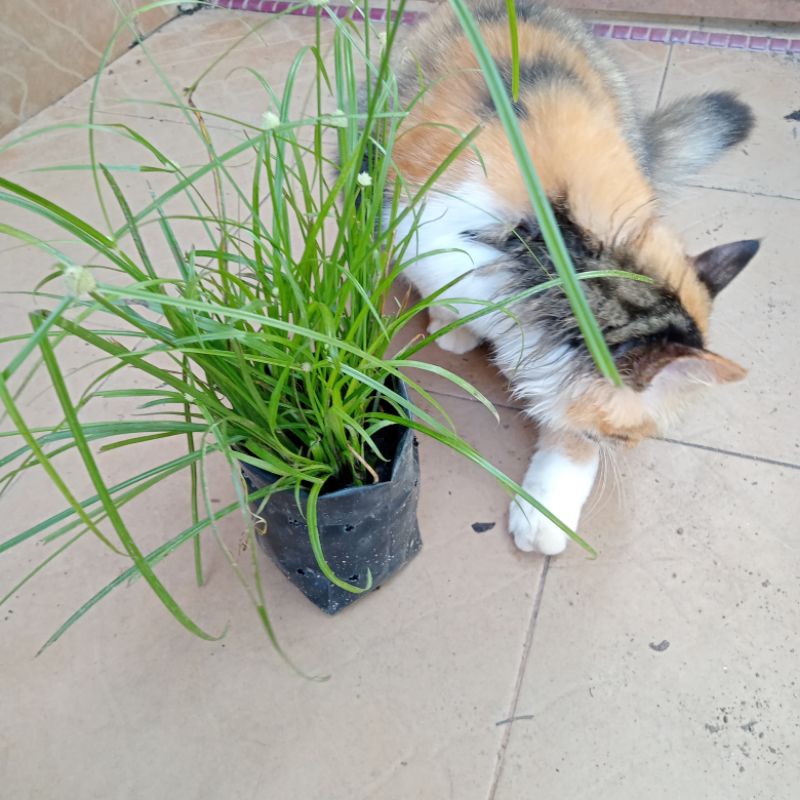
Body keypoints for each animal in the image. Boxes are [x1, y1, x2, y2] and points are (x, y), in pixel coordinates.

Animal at [386, 0, 759, 554]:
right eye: (624, 437)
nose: (628, 450)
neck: (564, 244)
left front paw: (548, 513)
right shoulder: (419, 234)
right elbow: (449, 297)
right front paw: (452, 330)